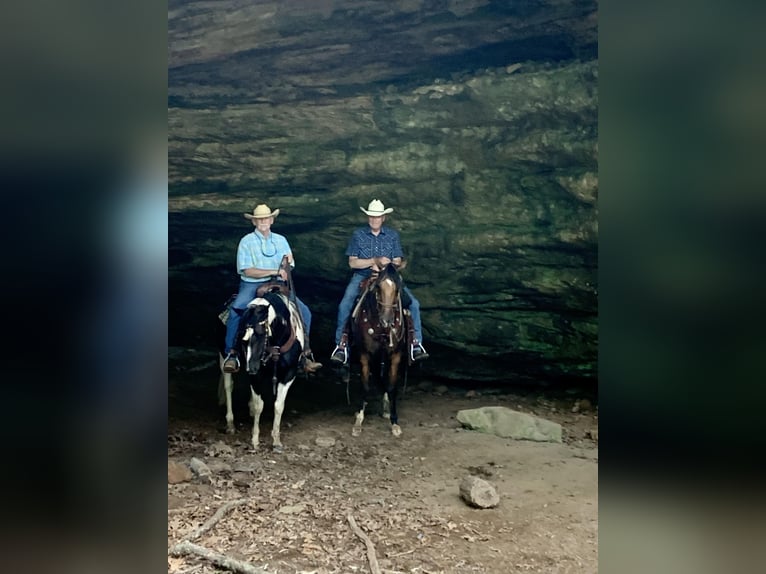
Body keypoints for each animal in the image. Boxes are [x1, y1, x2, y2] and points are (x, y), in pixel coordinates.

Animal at [218, 292, 304, 454]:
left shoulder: (289, 373)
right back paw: (231, 424)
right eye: (241, 336)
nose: (251, 368)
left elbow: (278, 405)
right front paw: (255, 441)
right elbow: (260, 405)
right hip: (222, 356)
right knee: (228, 386)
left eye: (261, 334)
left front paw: (276, 442)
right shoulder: (256, 375)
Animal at [350, 264, 408, 438]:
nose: (386, 320)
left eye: (398, 289)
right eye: (377, 288)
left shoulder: (395, 355)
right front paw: (358, 422)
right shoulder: (365, 354)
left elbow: (393, 387)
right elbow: (365, 385)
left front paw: (395, 422)